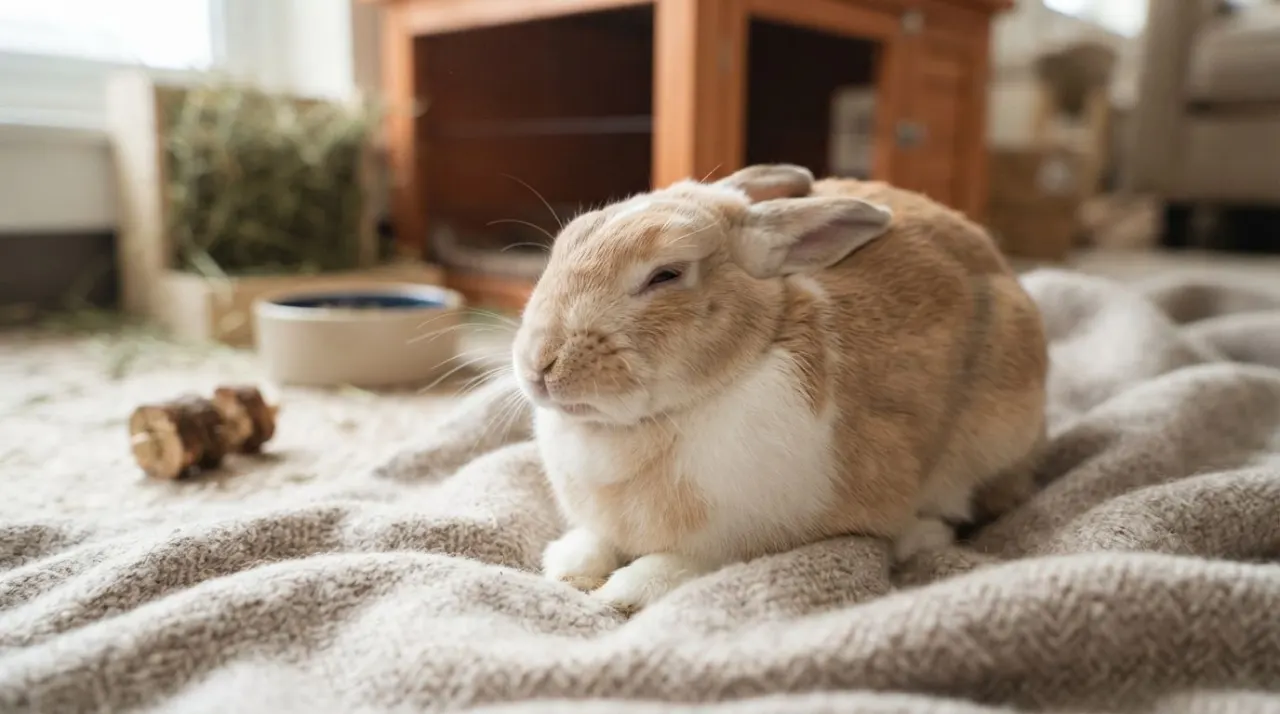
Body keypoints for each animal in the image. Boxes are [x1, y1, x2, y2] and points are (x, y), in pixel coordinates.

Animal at [508, 164, 1048, 613]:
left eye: (666, 274)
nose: (538, 364)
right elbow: (594, 542)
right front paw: (569, 568)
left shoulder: (743, 539)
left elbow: (689, 563)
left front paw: (623, 593)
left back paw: (922, 534)